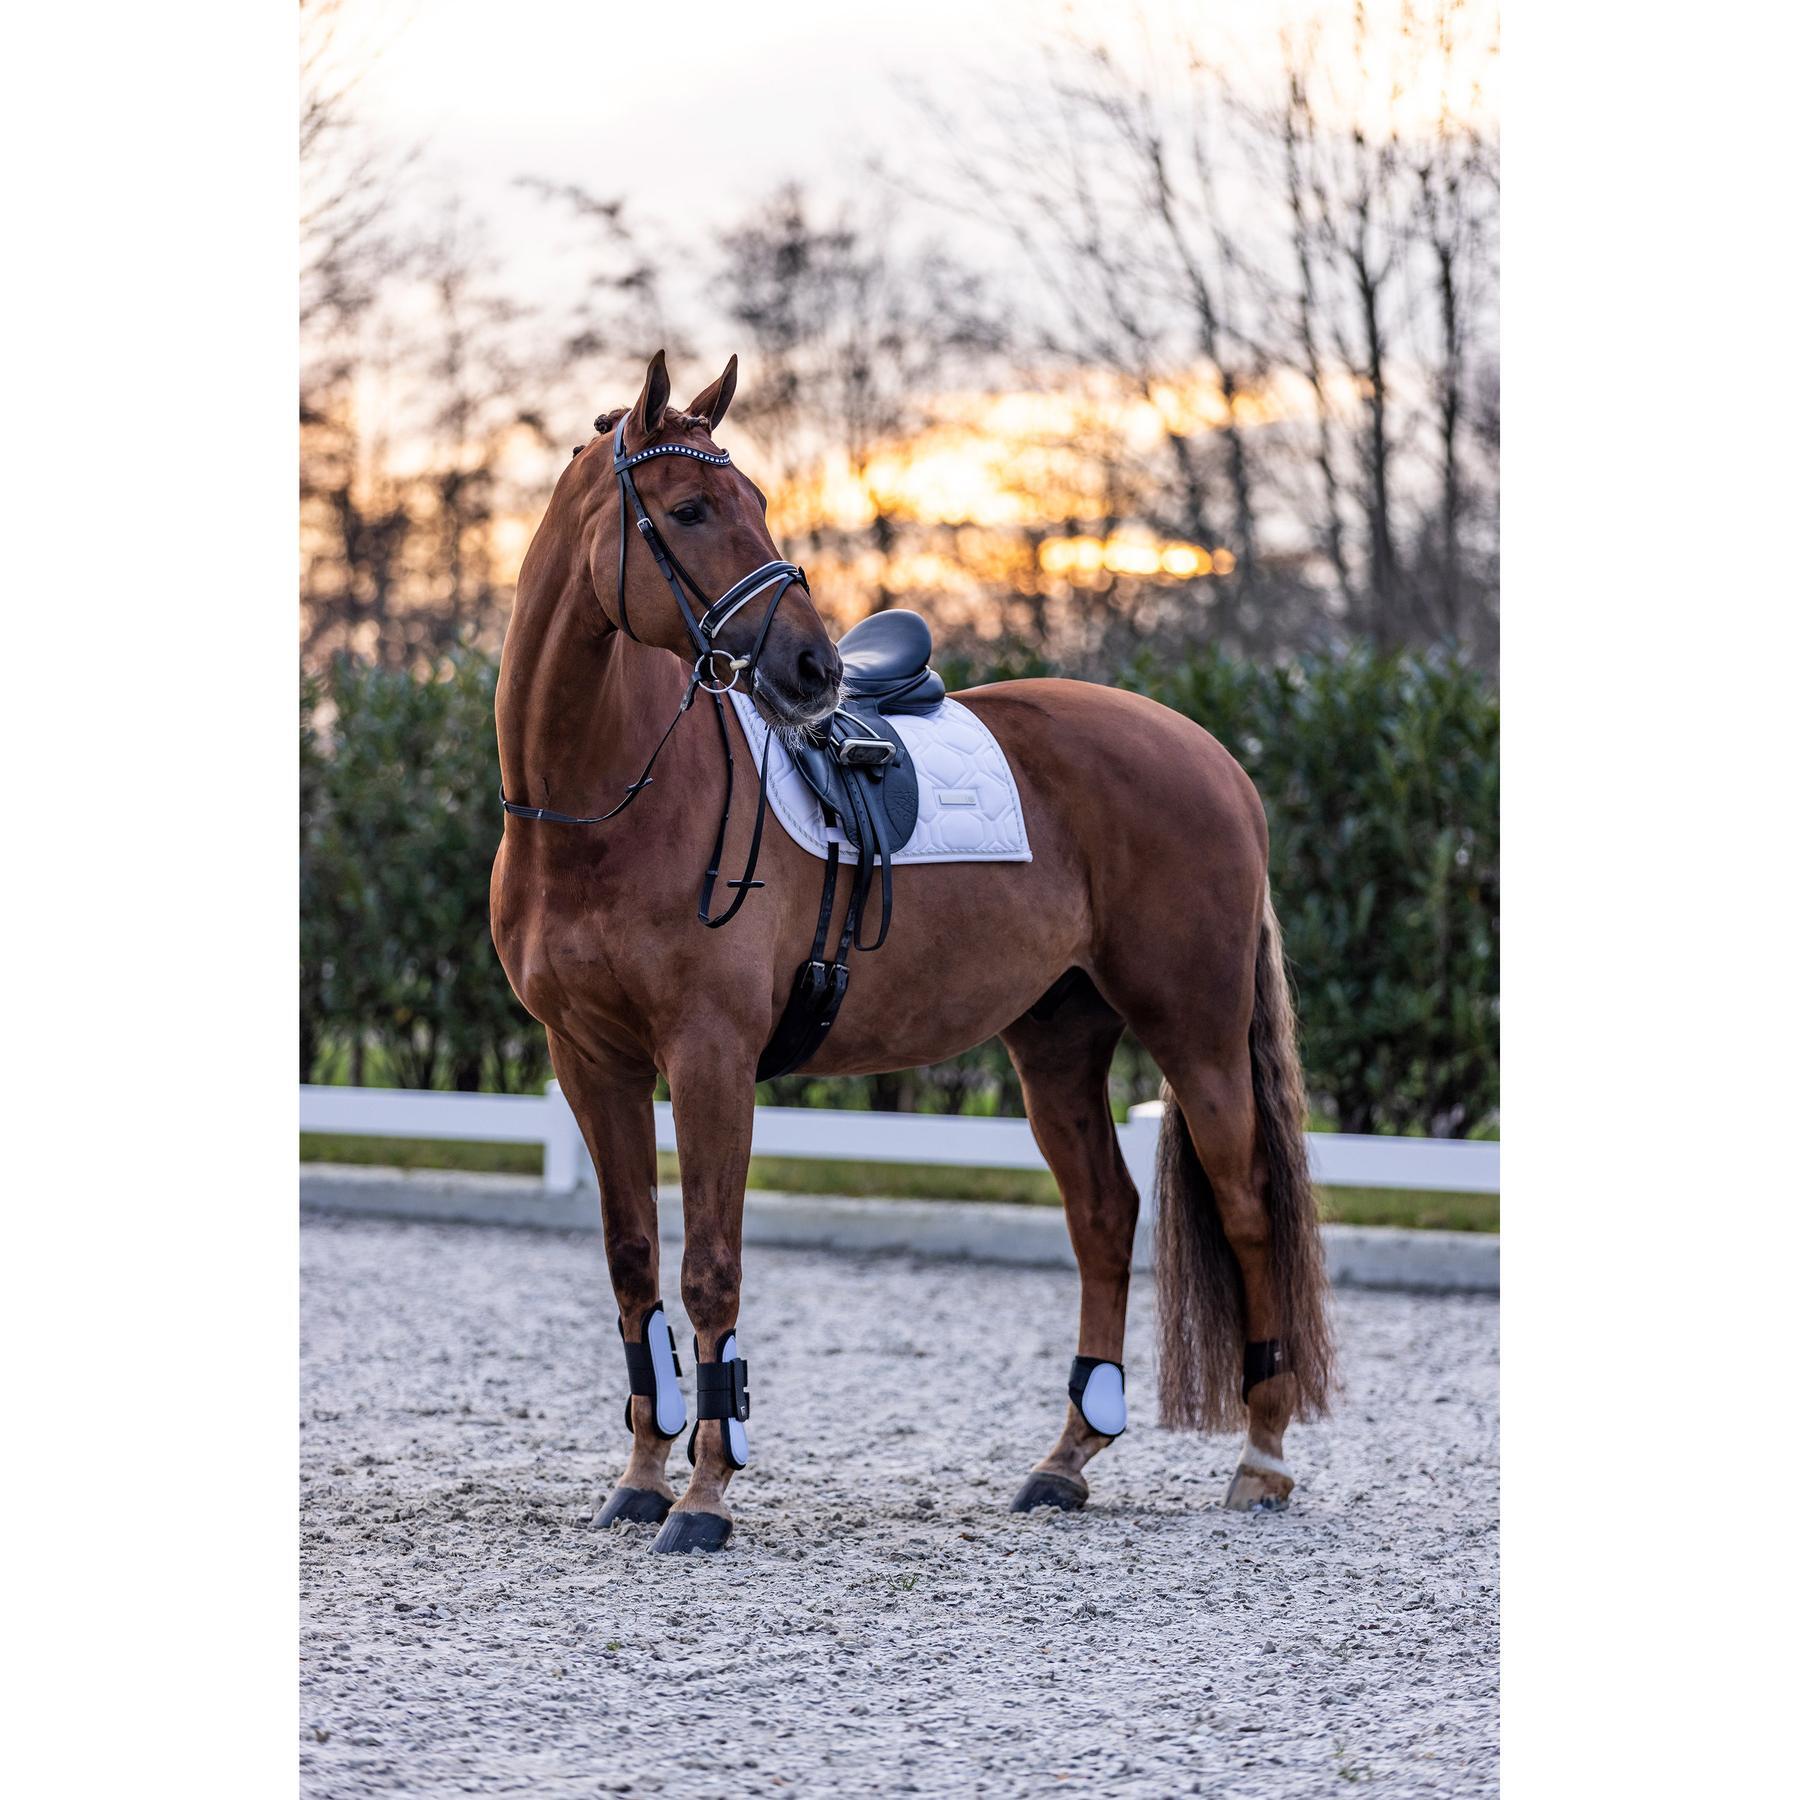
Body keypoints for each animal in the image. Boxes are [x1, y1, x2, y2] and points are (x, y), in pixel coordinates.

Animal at [491, 350, 1335, 1553]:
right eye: (690, 508)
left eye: (756, 501)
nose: (812, 669)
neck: (602, 807)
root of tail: (1210, 753)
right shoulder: (589, 1062)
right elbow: (632, 1266)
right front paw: (643, 1479)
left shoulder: (710, 1060)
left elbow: (709, 1272)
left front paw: (704, 1498)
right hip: (1056, 1040)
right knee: (1104, 1214)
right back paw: (1066, 1460)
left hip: (1197, 1031)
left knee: (1248, 1204)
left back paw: (1260, 1458)